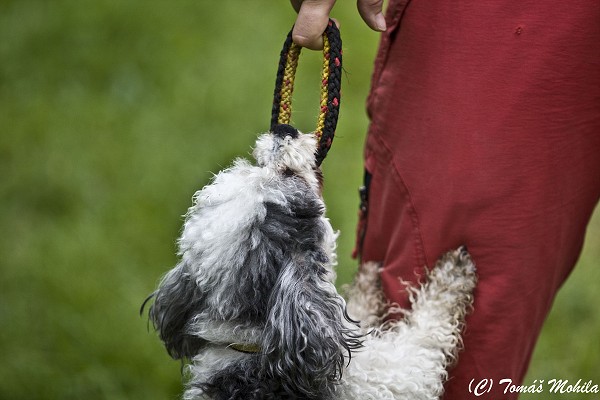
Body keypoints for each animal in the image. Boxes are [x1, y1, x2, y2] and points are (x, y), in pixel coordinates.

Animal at [143, 123, 476, 398]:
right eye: (287, 175)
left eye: (259, 167)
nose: (283, 130)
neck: (256, 343)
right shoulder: (396, 376)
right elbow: (427, 335)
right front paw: (452, 274)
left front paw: (367, 281)